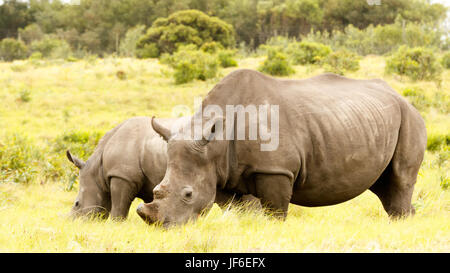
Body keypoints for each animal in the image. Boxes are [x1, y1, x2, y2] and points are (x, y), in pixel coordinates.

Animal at [65, 116, 258, 220]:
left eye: (77, 204)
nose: (71, 221)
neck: (97, 168)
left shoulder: (122, 175)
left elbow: (119, 206)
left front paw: (115, 224)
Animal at [136, 68, 426, 225]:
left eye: (188, 194)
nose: (163, 226)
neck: (216, 143)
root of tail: (403, 97)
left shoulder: (275, 169)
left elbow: (275, 213)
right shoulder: (220, 173)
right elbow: (236, 210)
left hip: (410, 118)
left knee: (399, 181)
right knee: (385, 187)